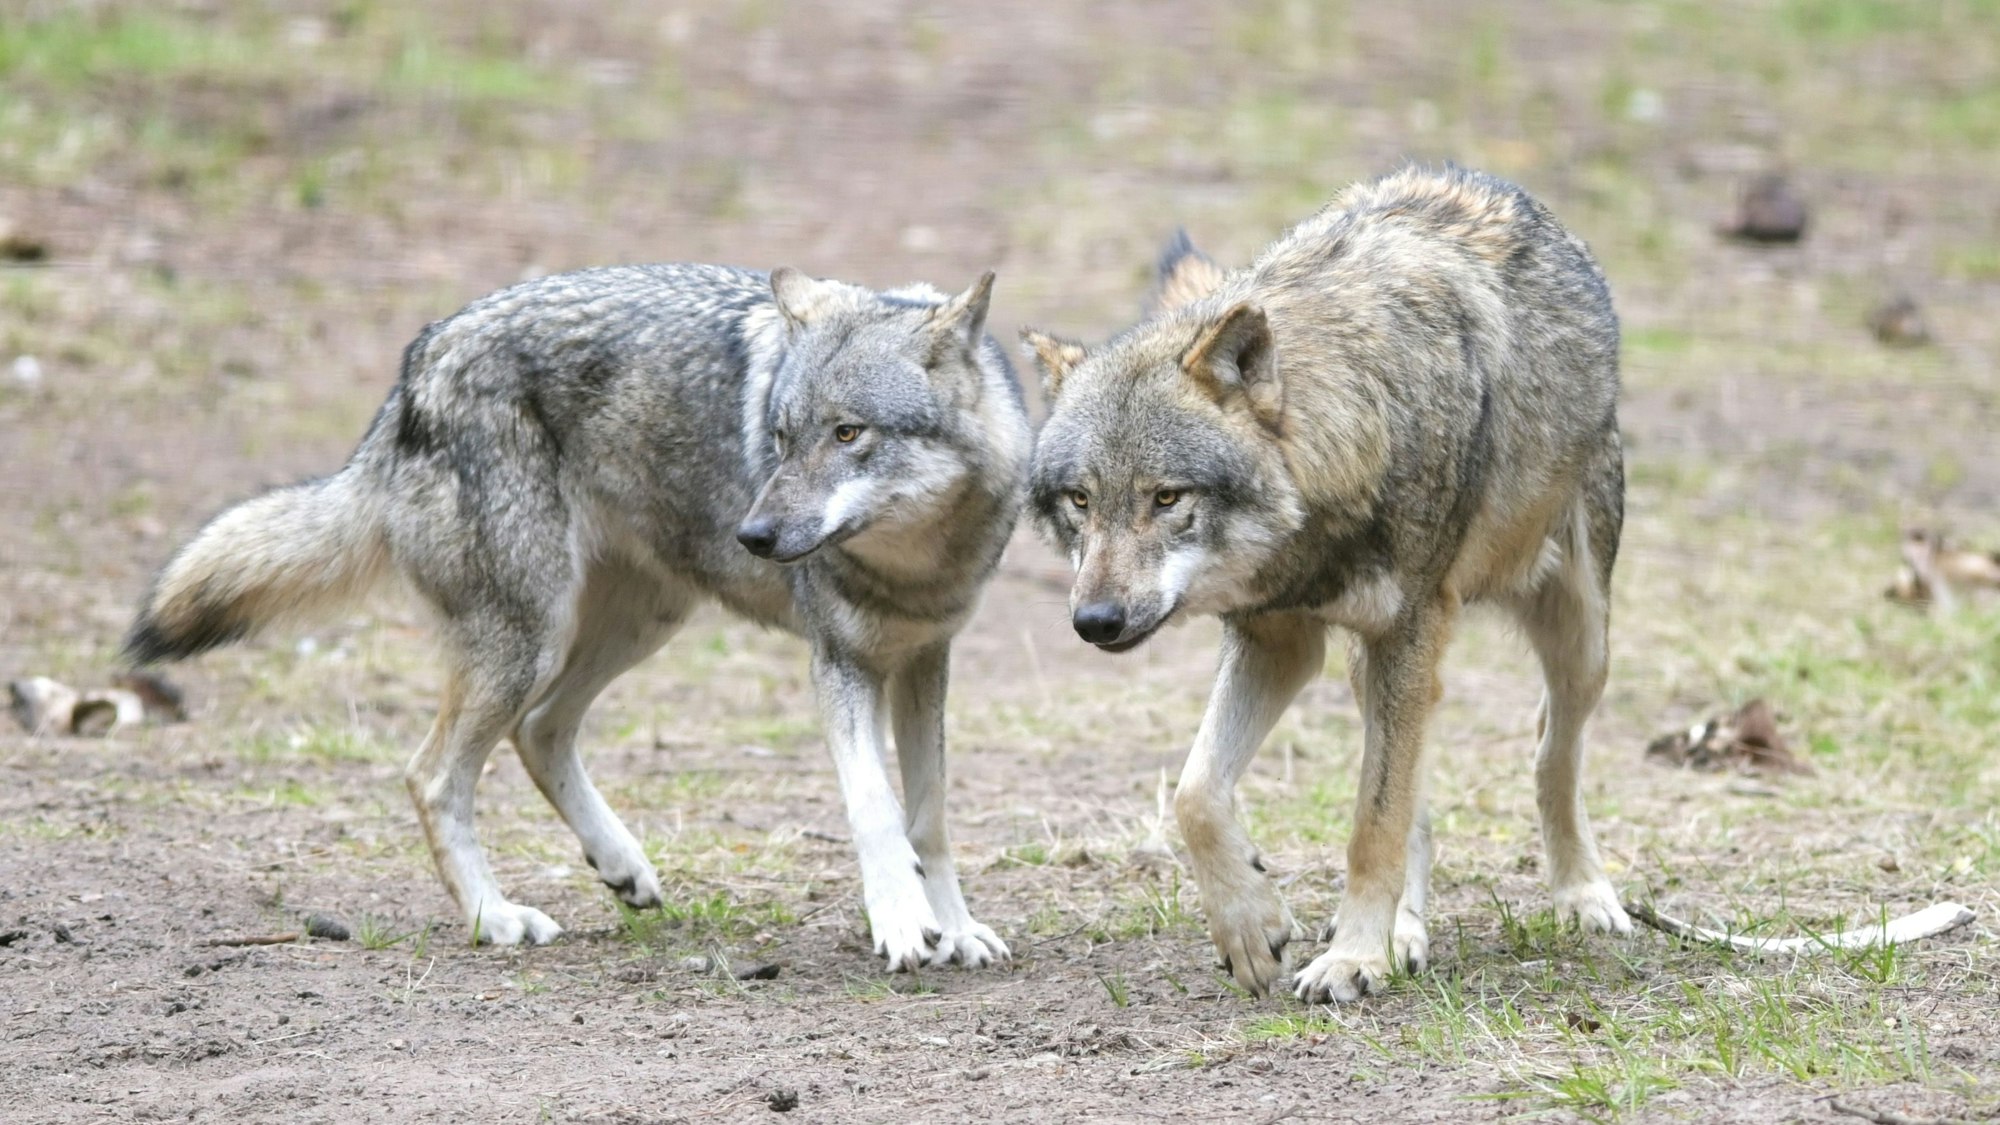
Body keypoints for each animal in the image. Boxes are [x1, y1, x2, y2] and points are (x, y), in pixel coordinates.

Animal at [127, 263, 1032, 970]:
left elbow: (929, 816)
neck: (915, 563)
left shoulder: (924, 661)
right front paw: (903, 923)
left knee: (540, 731)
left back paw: (619, 865)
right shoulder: (839, 663)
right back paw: (495, 918)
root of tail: (417, 364)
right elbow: (875, 807)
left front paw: (955, 927)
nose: (755, 535)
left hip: (636, 623)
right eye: (778, 438)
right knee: (433, 773)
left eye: (848, 433)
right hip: (529, 641)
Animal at [1022, 165, 1629, 1002]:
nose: (1096, 620)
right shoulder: (1278, 639)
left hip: (1577, 638)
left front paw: (1351, 957)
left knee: (1549, 751)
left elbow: (1374, 825)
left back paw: (1581, 893)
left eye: (1167, 497)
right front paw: (1253, 926)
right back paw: (1407, 931)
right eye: (1081, 500)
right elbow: (1196, 793)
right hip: (1372, 666)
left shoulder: (1406, 629)